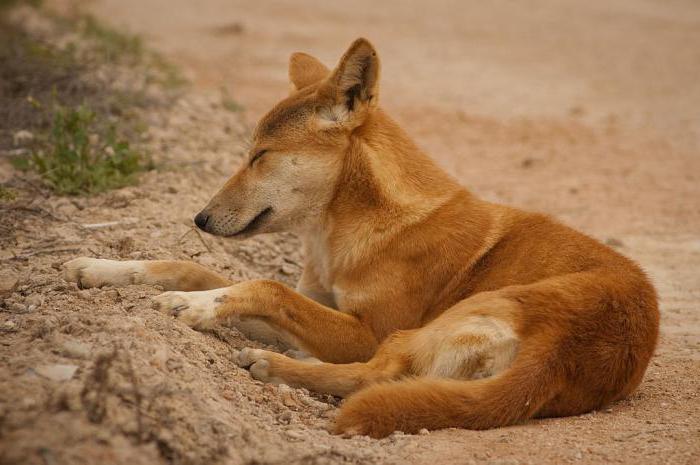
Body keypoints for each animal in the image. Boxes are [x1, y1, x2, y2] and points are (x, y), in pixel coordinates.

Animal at [63, 38, 660, 436]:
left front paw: (193, 307)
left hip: (421, 329)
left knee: (379, 374)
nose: (200, 220)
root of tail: (560, 351)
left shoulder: (366, 330)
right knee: (379, 380)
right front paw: (100, 268)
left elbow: (263, 286)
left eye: (261, 156)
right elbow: (188, 267)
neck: (345, 230)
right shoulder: (317, 301)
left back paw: (277, 366)